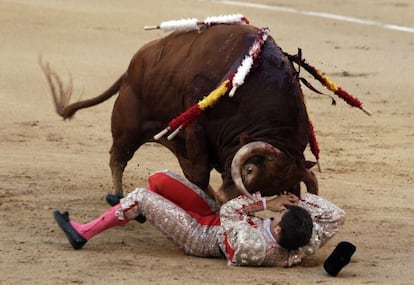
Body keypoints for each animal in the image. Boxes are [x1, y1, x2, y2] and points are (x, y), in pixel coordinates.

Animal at [41, 23, 316, 202]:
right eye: (249, 172)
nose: (231, 200)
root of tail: (132, 66)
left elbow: (197, 174)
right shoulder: (195, 126)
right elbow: (199, 172)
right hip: (127, 126)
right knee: (118, 157)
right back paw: (117, 196)